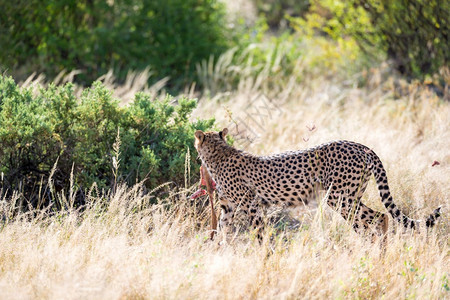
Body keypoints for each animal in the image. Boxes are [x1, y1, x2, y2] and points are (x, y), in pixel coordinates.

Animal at [194, 127, 442, 238]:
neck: (219, 154)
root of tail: (361, 146)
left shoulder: (251, 205)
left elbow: (259, 233)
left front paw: (264, 255)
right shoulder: (228, 207)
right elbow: (222, 229)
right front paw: (221, 252)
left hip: (340, 197)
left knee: (378, 217)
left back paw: (376, 252)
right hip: (350, 197)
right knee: (369, 221)